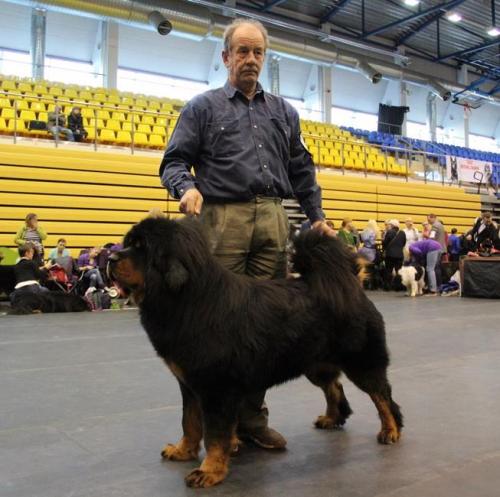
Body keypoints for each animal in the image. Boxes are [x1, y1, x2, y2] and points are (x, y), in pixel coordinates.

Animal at [108, 218, 402, 488]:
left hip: (362, 363)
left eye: (141, 247)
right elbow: (189, 421)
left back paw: (390, 431)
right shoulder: (189, 384)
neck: (189, 299)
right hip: (315, 364)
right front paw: (183, 450)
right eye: (128, 243)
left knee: (383, 396)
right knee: (335, 387)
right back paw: (332, 418)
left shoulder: (216, 388)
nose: (110, 258)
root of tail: (351, 285)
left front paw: (209, 471)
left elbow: (214, 434)